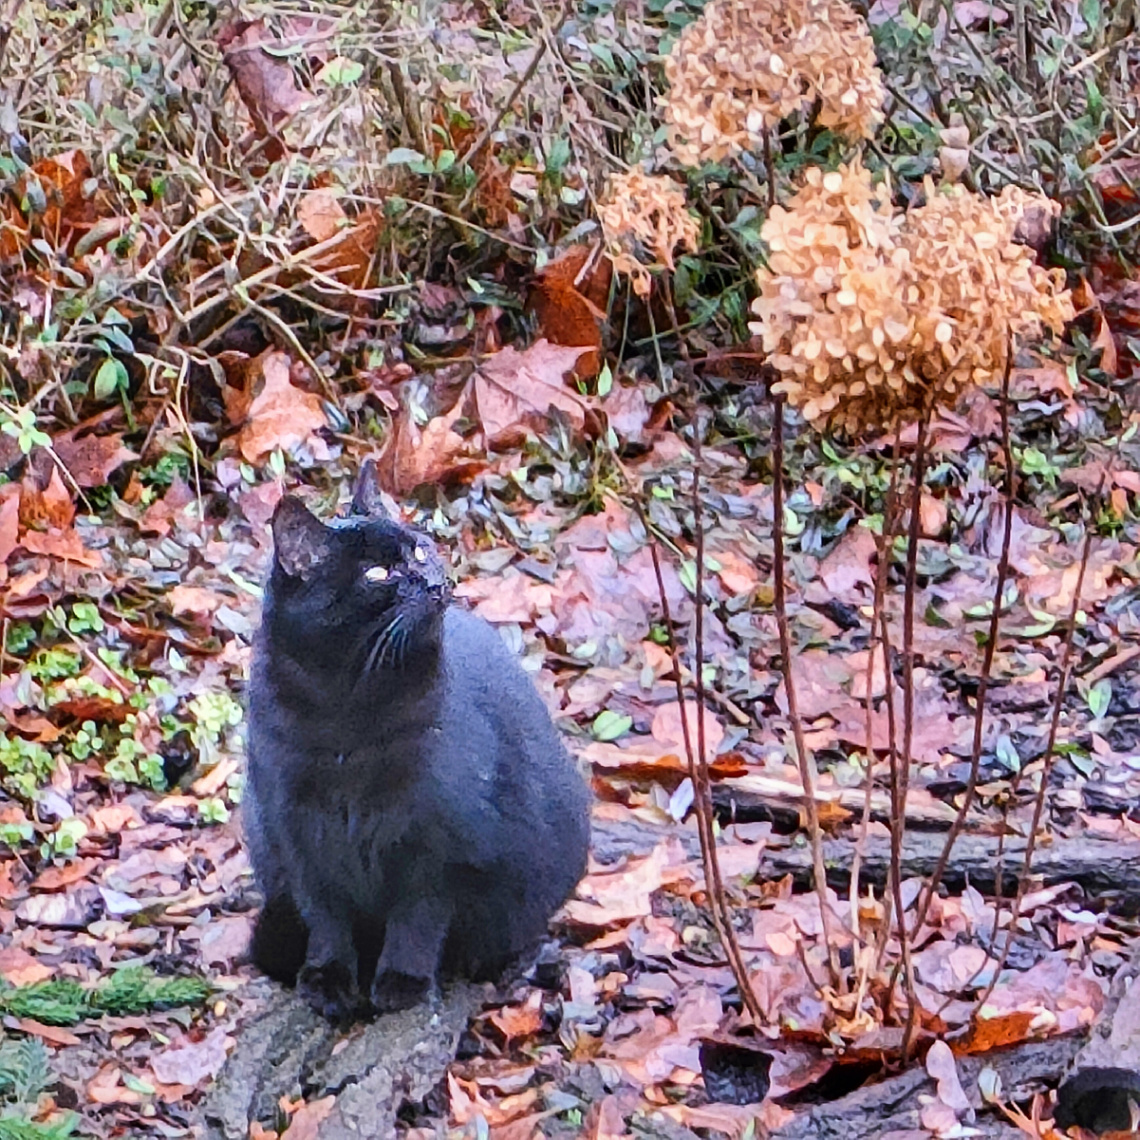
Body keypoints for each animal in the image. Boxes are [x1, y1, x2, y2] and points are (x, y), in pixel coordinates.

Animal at [246, 471, 592, 1026]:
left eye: (422, 550)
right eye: (379, 573)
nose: (434, 583)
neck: (348, 716)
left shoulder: (440, 845)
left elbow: (417, 920)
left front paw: (402, 983)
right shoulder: (297, 836)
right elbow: (326, 918)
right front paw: (328, 979)